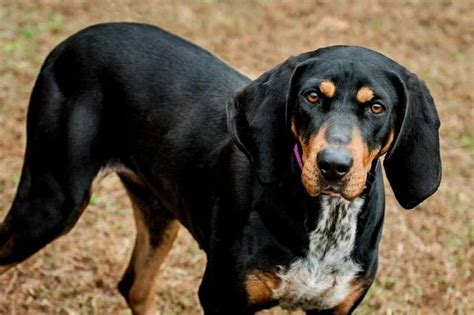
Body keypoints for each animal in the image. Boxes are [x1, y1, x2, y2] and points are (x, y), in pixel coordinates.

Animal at [0, 21, 440, 314]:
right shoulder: (222, 297)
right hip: (51, 201)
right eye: (312, 96)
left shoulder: (335, 308)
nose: (334, 166)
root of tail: (70, 41)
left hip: (158, 210)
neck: (325, 221)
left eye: (377, 107)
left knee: (135, 286)